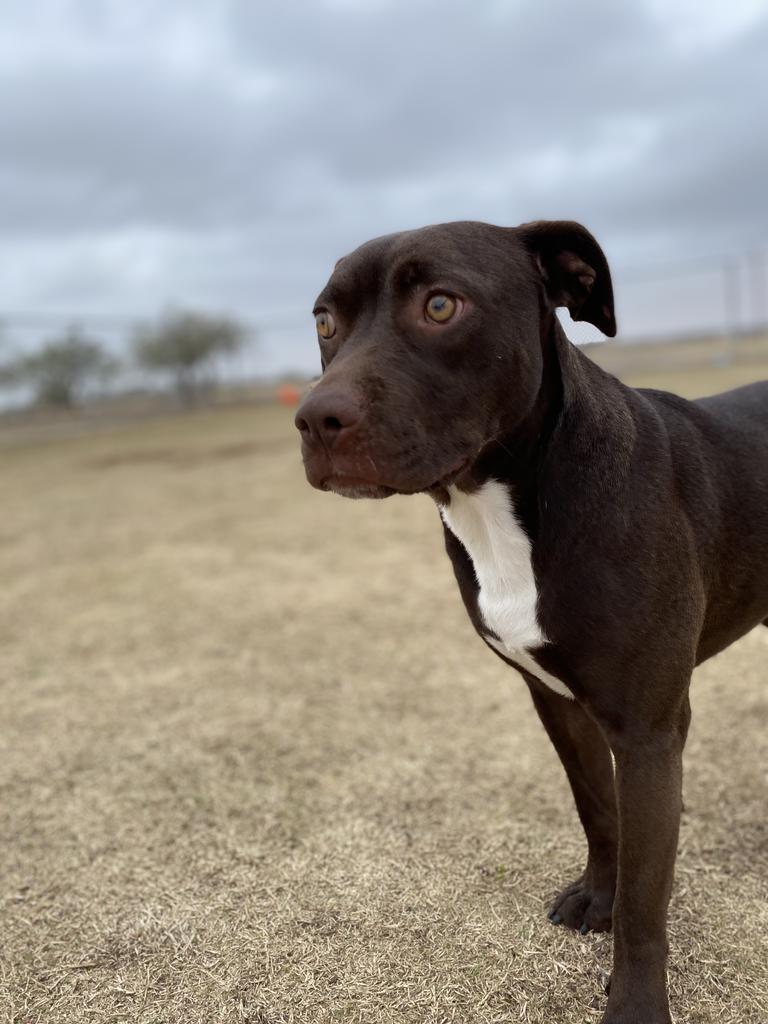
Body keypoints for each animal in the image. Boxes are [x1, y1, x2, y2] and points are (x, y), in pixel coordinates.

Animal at [292, 222, 768, 1024]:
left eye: (441, 304)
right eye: (325, 322)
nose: (314, 419)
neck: (510, 502)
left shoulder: (648, 731)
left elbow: (647, 901)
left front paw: (636, 1005)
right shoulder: (556, 703)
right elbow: (597, 811)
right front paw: (598, 897)